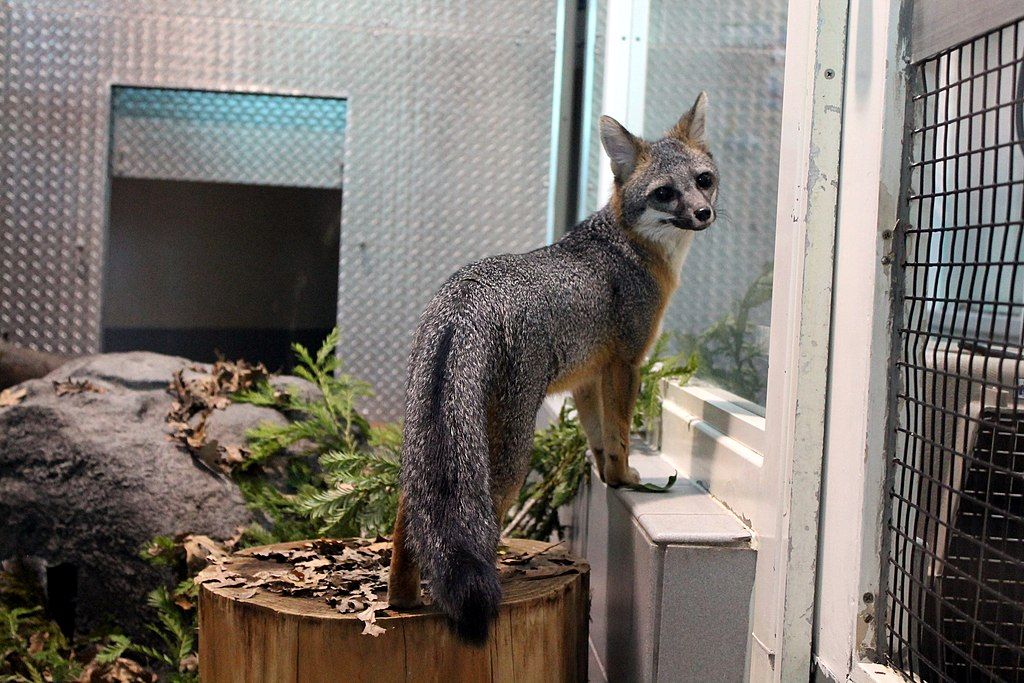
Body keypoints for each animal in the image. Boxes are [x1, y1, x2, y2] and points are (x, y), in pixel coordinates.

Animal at [387, 92, 718, 644]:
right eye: (665, 193)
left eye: (704, 179)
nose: (704, 212)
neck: (628, 245)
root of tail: (464, 300)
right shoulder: (627, 363)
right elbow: (621, 433)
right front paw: (626, 478)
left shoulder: (587, 377)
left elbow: (598, 437)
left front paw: (608, 478)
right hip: (509, 455)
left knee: (409, 512)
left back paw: (402, 601)